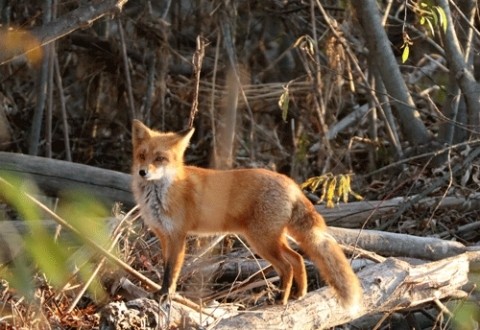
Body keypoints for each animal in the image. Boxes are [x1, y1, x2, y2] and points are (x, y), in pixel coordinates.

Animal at [129, 120, 362, 310]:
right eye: (142, 155)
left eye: (160, 158)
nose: (143, 172)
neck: (161, 195)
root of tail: (290, 182)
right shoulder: (163, 235)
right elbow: (165, 268)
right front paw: (161, 292)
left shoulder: (178, 235)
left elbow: (171, 271)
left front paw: (166, 295)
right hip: (270, 239)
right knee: (296, 259)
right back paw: (299, 294)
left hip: (262, 241)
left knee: (287, 265)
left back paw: (281, 299)